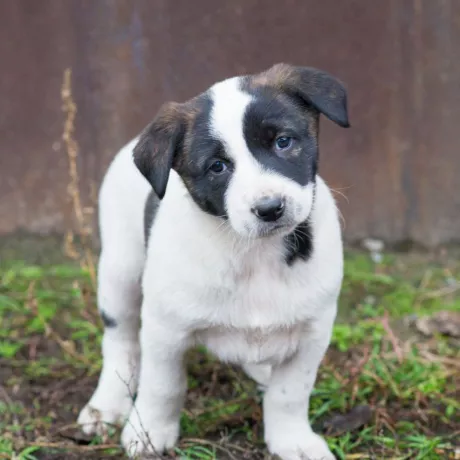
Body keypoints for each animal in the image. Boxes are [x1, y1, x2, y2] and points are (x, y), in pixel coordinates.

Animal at [78, 63, 349, 459]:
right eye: (217, 167)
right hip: (120, 271)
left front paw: (292, 440)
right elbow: (163, 386)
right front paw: (148, 431)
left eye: (283, 142)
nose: (270, 208)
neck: (252, 252)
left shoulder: (313, 331)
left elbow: (290, 393)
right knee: (120, 340)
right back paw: (107, 404)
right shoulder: (164, 330)